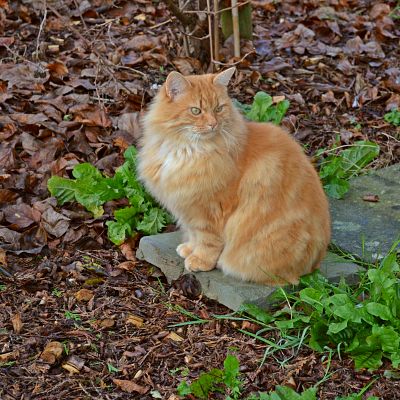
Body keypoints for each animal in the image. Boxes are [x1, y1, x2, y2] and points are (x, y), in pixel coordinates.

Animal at [138, 68, 332, 284]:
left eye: (219, 109)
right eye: (196, 111)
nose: (213, 124)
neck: (187, 151)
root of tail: (314, 266)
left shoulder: (209, 211)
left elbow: (207, 242)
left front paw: (200, 260)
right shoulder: (189, 208)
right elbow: (193, 234)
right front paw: (189, 249)